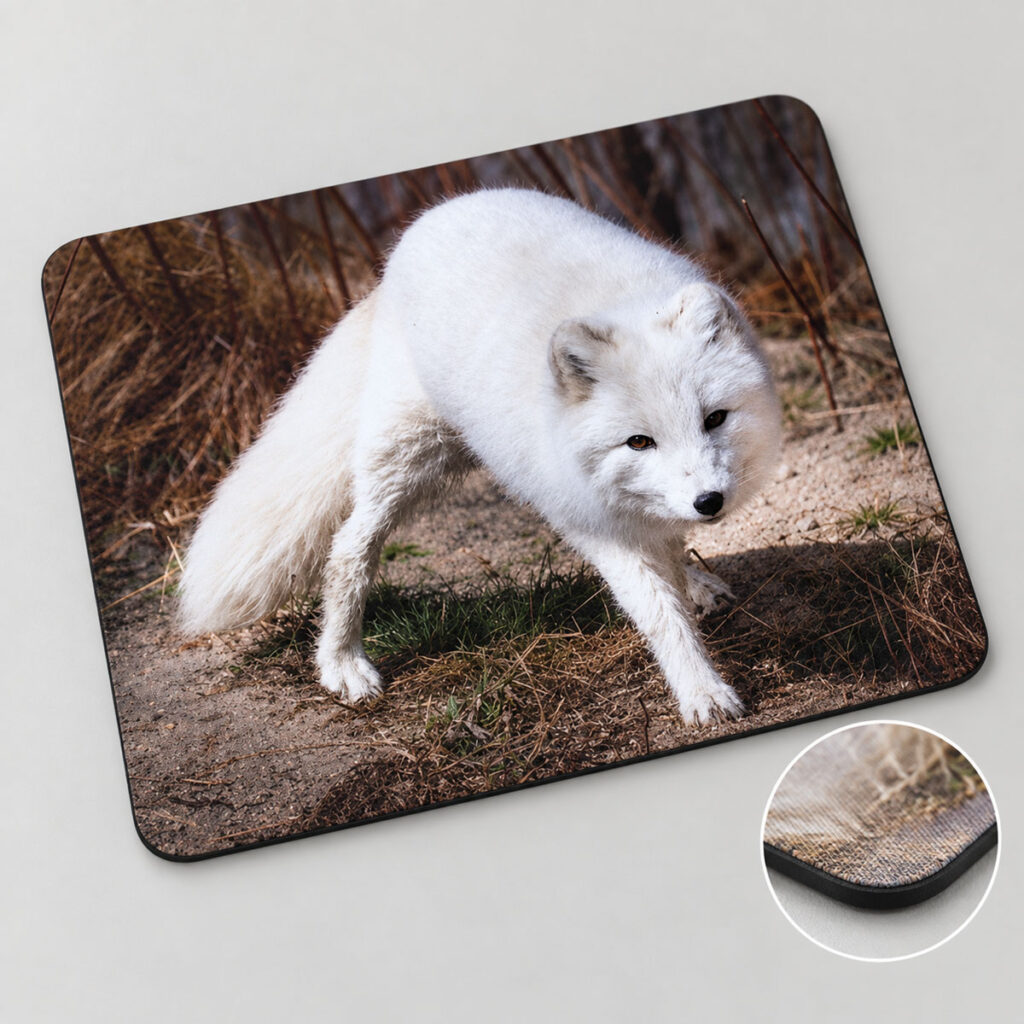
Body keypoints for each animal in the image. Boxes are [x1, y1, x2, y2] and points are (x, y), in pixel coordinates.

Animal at [180, 188, 781, 725]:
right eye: (639, 442)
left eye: (714, 419)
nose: (709, 502)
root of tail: (411, 239)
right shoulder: (594, 522)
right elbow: (660, 614)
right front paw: (702, 692)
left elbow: (671, 558)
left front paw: (691, 587)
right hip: (403, 459)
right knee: (348, 550)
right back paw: (341, 663)